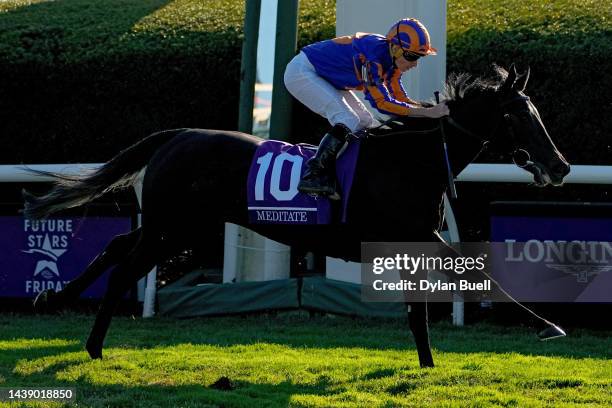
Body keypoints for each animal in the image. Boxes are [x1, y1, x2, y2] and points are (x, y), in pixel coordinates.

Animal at [22, 64, 568, 366]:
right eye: (518, 115)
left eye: (536, 112)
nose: (560, 166)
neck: (411, 160)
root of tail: (177, 136)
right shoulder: (417, 236)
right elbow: (474, 274)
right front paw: (547, 325)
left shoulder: (411, 242)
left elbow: (422, 308)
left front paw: (428, 365)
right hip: (177, 227)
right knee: (124, 268)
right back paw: (92, 345)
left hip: (174, 225)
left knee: (117, 246)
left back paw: (55, 298)